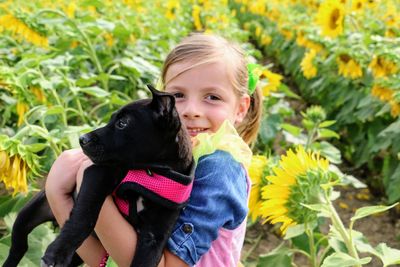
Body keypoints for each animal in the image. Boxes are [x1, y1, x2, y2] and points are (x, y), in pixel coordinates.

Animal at [3, 86, 194, 267]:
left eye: (122, 123)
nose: (82, 139)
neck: (152, 173)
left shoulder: (155, 235)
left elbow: (147, 260)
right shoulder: (98, 175)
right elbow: (85, 216)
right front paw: (58, 253)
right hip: (27, 214)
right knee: (19, 245)